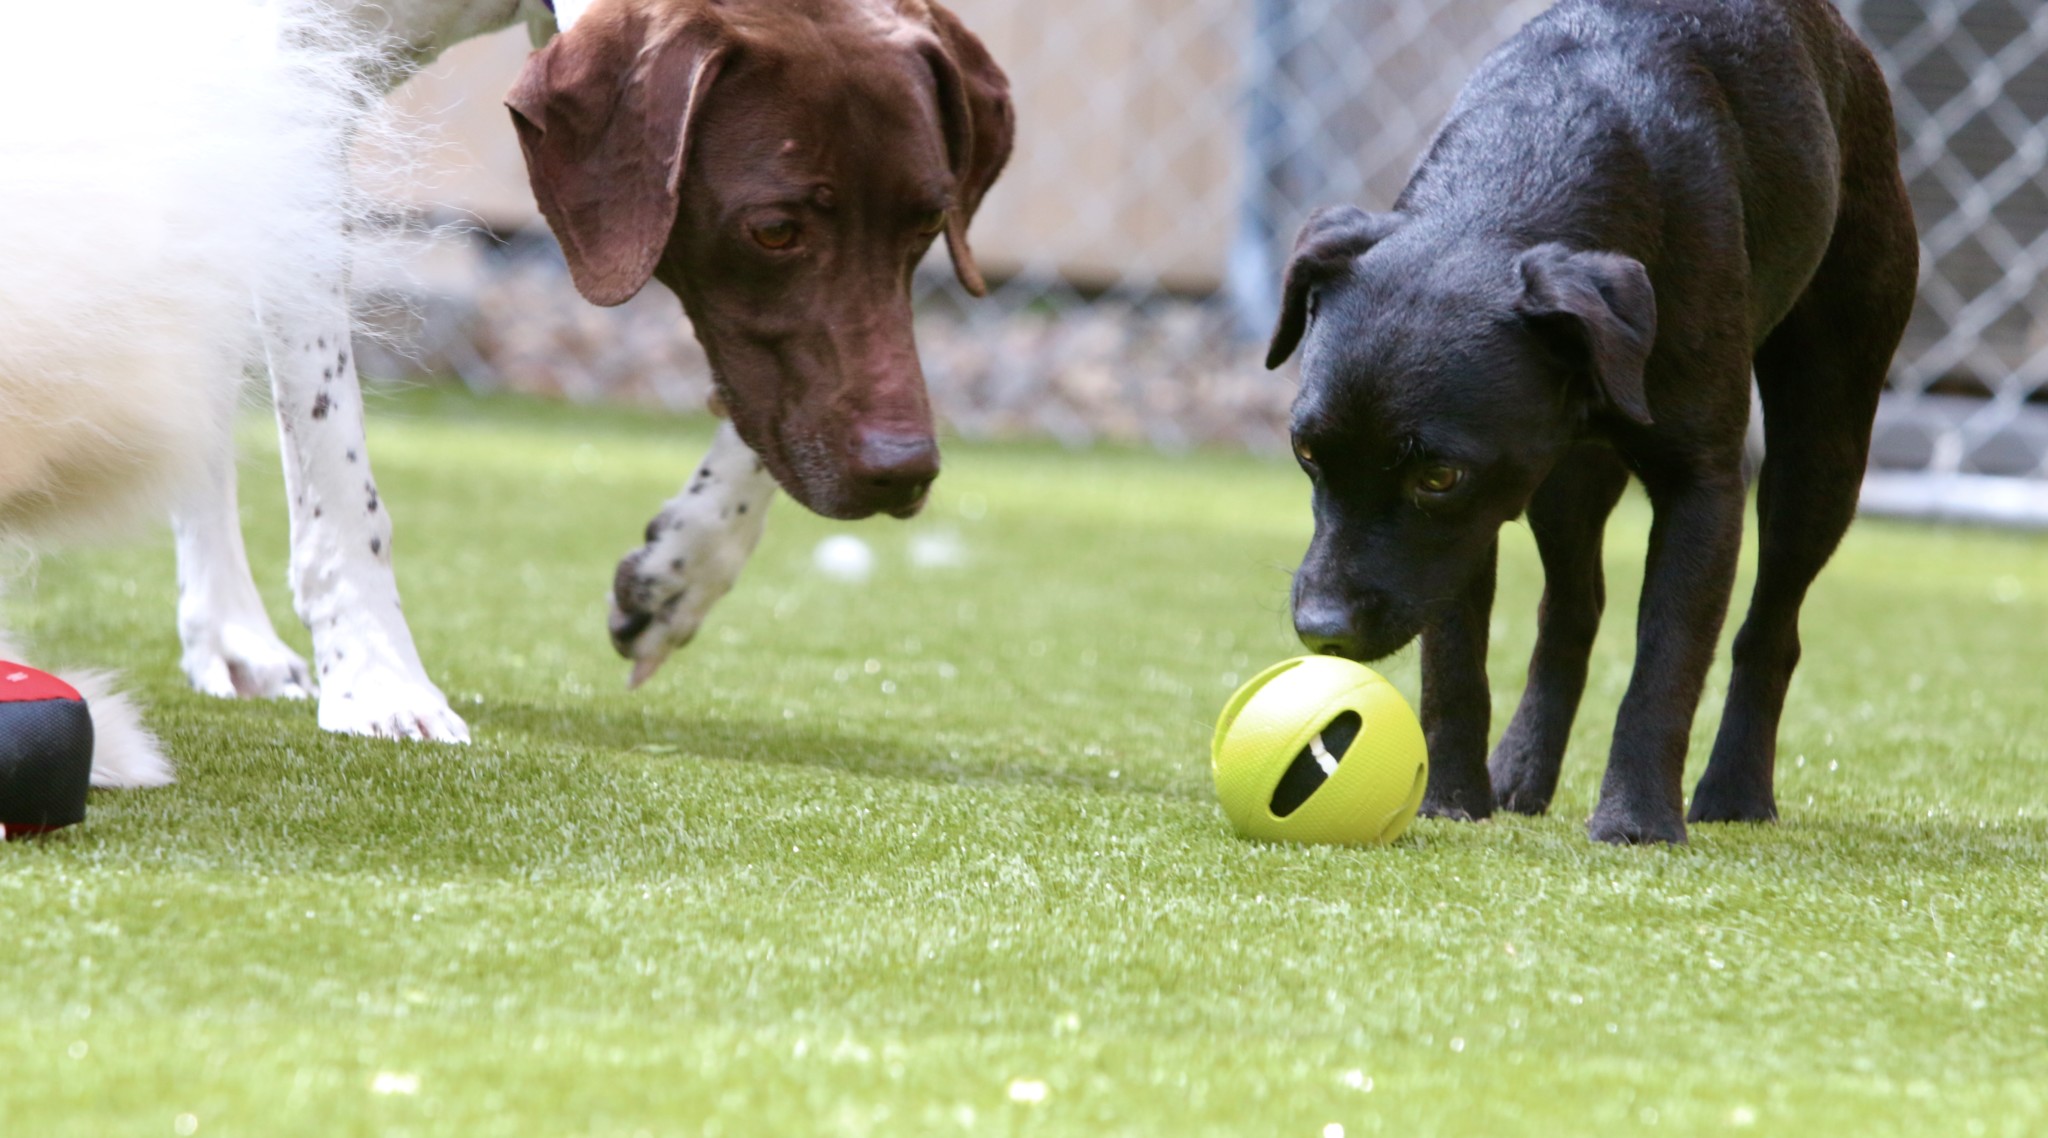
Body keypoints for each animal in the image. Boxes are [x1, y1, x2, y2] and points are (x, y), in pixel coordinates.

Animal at [1261, 0, 1916, 843]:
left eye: (1437, 474)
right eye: (1306, 450)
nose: (1322, 629)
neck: (1528, 168)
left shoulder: (1701, 484)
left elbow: (1665, 663)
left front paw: (1635, 820)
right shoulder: (1469, 523)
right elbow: (1454, 663)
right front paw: (1453, 802)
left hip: (1821, 447)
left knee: (1771, 625)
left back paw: (1735, 792)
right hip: (1564, 482)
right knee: (1571, 613)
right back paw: (1522, 772)